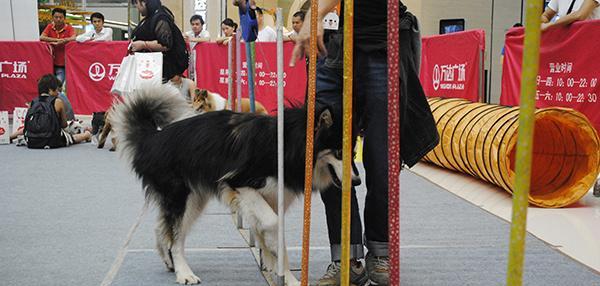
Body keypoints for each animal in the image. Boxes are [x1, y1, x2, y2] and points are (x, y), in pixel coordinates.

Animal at [110, 84, 358, 284]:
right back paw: (184, 273)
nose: (357, 181)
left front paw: (280, 272)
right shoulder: (239, 184)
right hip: (180, 196)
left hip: (194, 199)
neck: (287, 143)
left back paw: (169, 262)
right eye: (338, 152)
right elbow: (273, 223)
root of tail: (152, 137)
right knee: (176, 238)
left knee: (163, 227)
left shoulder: (272, 197)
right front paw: (285, 274)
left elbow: (271, 237)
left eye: (353, 152)